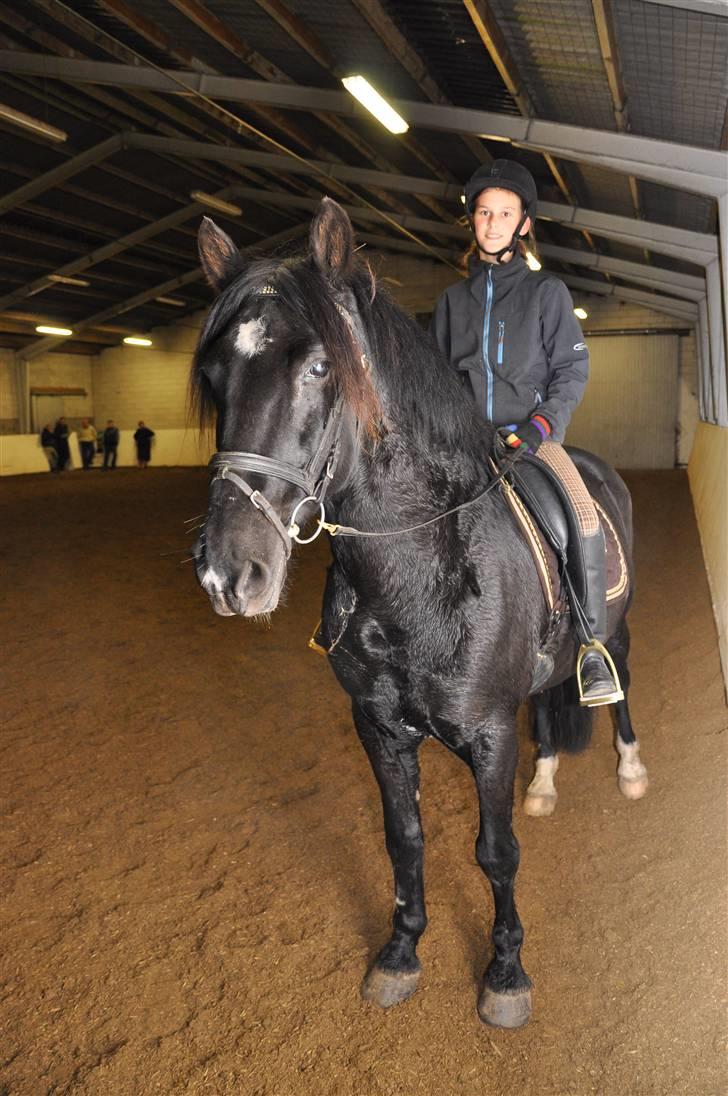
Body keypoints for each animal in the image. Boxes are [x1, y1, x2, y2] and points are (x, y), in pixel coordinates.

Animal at [188, 201, 649, 1030]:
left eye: (319, 368)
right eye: (214, 377)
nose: (229, 573)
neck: (416, 580)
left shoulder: (491, 734)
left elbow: (495, 852)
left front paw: (505, 975)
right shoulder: (378, 728)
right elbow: (404, 840)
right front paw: (400, 954)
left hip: (615, 632)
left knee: (618, 678)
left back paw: (630, 769)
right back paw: (546, 782)